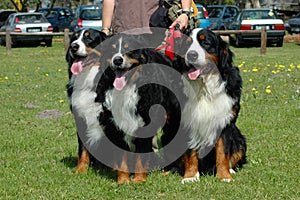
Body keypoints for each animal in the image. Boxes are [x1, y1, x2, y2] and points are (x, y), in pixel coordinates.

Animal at [65, 28, 106, 174]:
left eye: (89, 38)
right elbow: (82, 150)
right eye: (74, 38)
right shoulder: (80, 117)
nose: (73, 46)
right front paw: (81, 171)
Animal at [178, 28, 246, 183]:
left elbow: (223, 152)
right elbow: (190, 151)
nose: (191, 54)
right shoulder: (187, 121)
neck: (205, 88)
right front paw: (190, 176)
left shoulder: (225, 122)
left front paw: (224, 176)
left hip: (239, 138)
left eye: (206, 43)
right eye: (187, 44)